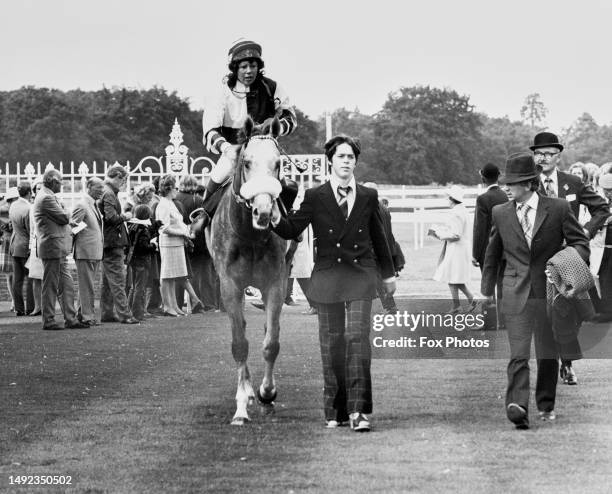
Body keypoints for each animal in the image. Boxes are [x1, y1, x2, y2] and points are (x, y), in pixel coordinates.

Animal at [206, 116, 286, 424]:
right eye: (247, 162)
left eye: (277, 163)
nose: (263, 212)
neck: (250, 237)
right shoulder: (229, 286)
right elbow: (239, 343)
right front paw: (241, 405)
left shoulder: (276, 283)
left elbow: (271, 342)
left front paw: (267, 393)